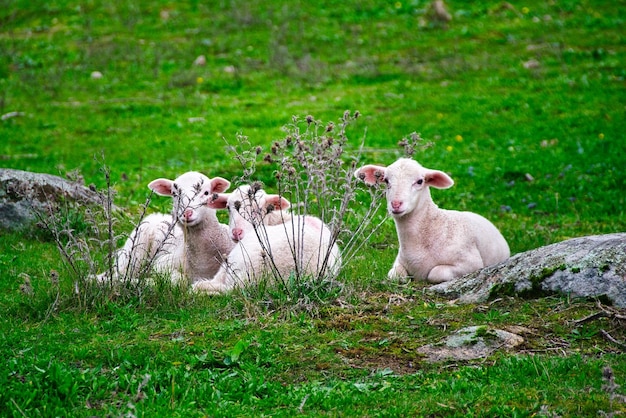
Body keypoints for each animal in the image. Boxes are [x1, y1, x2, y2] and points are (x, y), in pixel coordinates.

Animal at [96, 170, 233, 284]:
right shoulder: (161, 264)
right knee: (120, 273)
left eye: (206, 193)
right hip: (133, 253)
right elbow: (178, 279)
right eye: (174, 194)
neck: (201, 262)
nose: (187, 213)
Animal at [354, 158, 510, 284]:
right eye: (386, 180)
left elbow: (435, 273)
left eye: (419, 181)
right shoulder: (398, 263)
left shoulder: (471, 263)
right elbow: (395, 275)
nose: (396, 204)